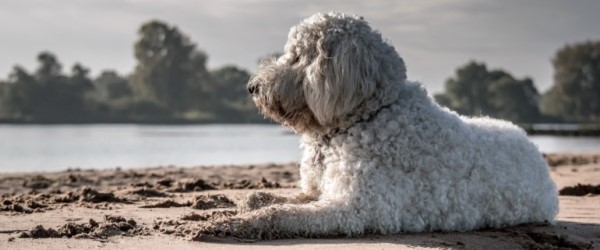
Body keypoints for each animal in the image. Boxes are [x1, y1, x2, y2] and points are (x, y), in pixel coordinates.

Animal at [199, 12, 560, 240]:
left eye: (299, 56)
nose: (253, 87)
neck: (365, 116)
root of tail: (530, 143)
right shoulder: (321, 191)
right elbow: (281, 198)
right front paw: (250, 201)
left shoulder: (357, 208)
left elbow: (282, 214)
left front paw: (236, 223)